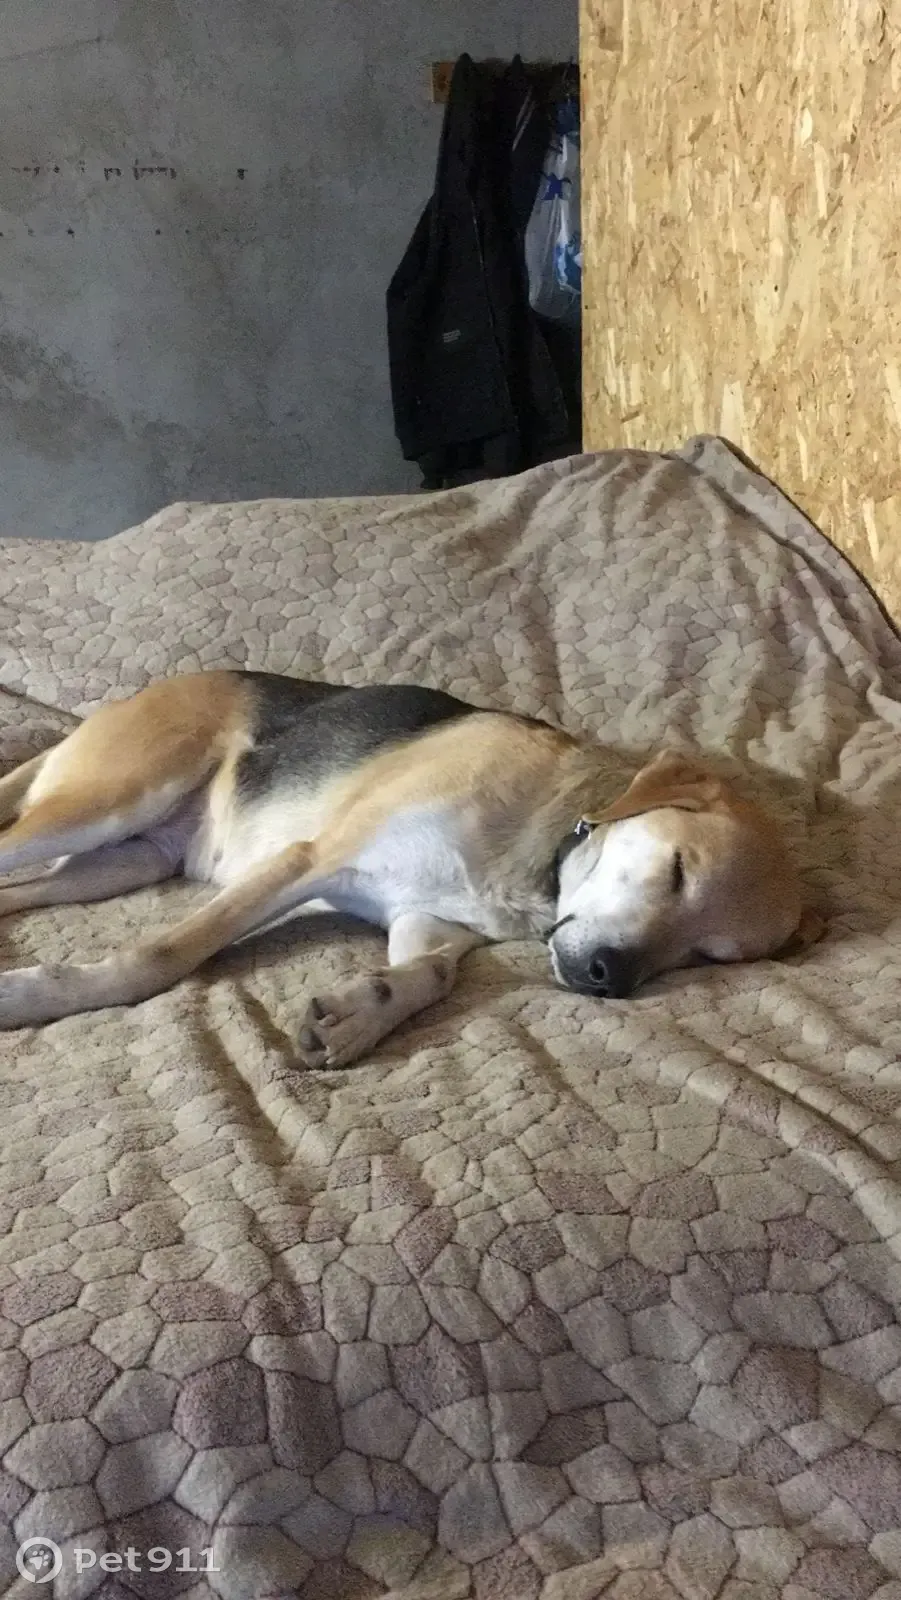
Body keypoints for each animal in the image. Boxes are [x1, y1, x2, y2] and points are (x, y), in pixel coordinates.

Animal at [0, 671, 824, 1064]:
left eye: (707, 956)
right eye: (677, 869)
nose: (608, 979)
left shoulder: (425, 922)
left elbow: (430, 976)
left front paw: (359, 1010)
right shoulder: (305, 862)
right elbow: (162, 955)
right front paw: (43, 995)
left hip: (123, 860)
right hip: (110, 801)